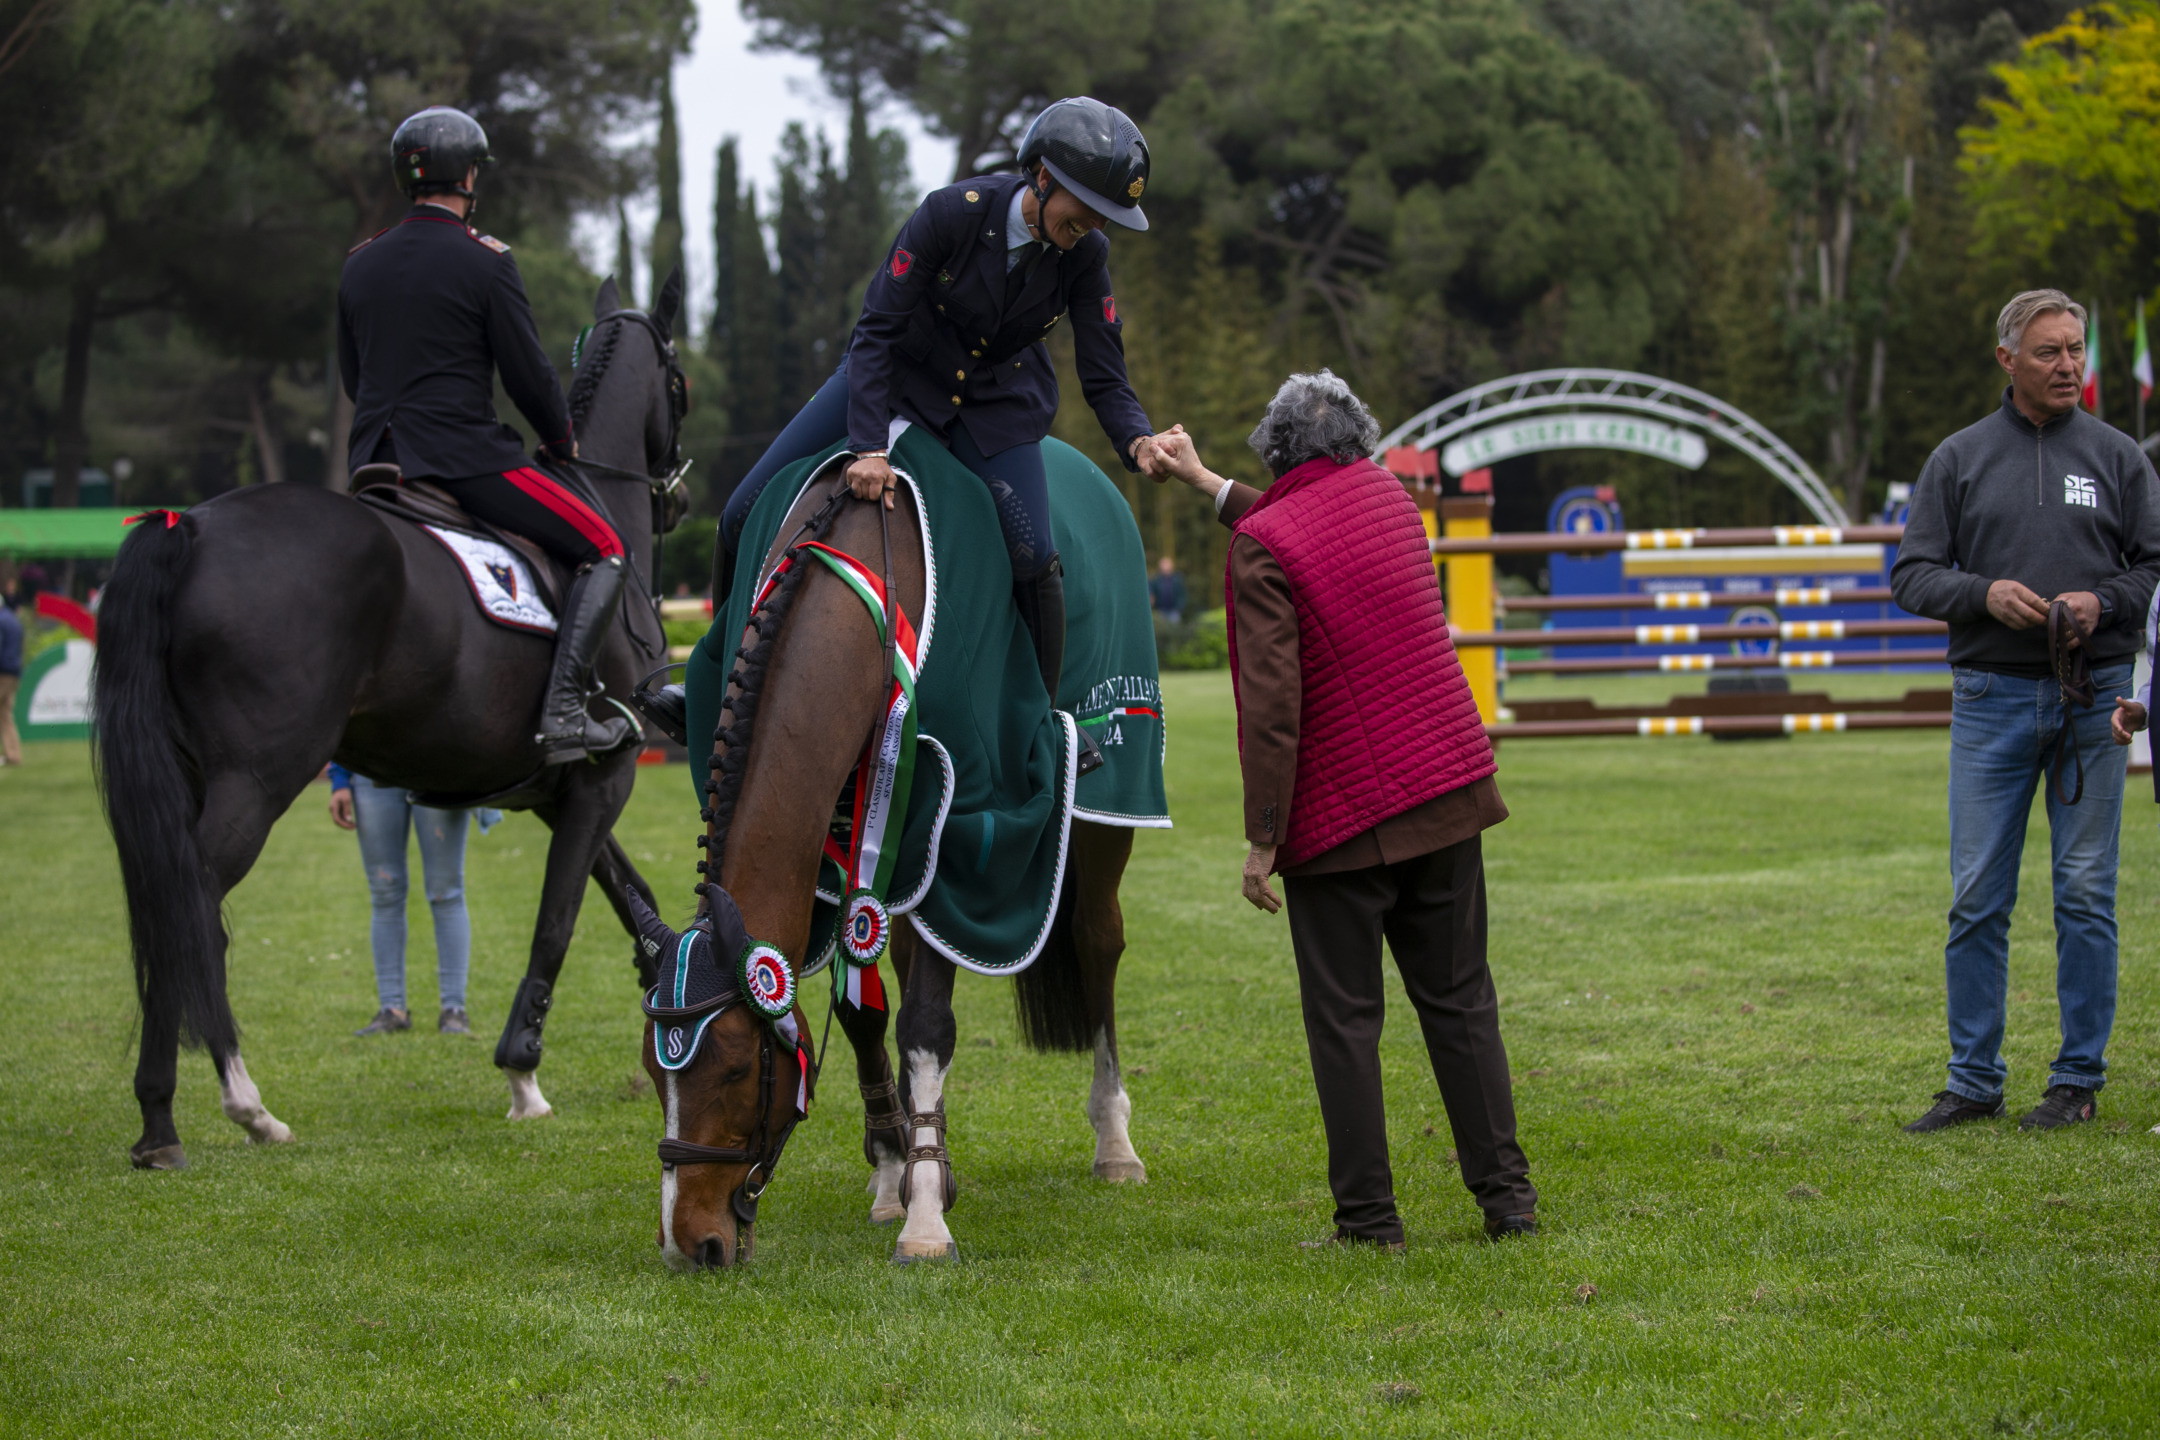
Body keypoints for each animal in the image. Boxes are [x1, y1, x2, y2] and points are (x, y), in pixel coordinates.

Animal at [90, 273, 682, 1174]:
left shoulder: (561, 790)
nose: (680, 496)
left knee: (172, 915)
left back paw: (171, 1116)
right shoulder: (601, 778)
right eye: (678, 380)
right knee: (191, 910)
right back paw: (226, 1108)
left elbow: (632, 894)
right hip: (256, 780)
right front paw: (522, 1074)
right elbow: (558, 920)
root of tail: (188, 526)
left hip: (191, 778)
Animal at [639, 464, 1149, 1269]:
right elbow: (861, 1010)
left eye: (735, 1068)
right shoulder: (840, 855)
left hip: (1105, 814)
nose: (691, 1243)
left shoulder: (957, 835)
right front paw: (893, 1168)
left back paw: (1115, 1141)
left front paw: (927, 1214)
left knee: (1098, 944)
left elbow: (927, 1022)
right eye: (655, 1071)